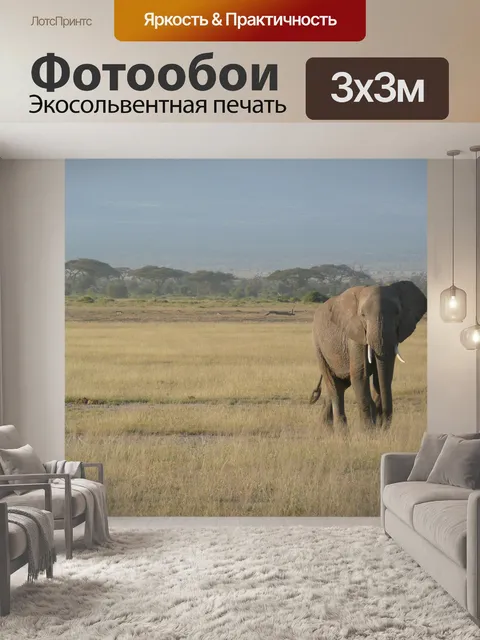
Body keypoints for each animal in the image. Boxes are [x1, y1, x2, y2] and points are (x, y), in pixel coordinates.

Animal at [309, 281, 427, 430]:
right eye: (363, 315)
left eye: (397, 313)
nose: (382, 426)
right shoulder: (355, 334)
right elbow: (360, 375)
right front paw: (368, 431)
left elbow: (382, 376)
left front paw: (376, 429)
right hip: (318, 345)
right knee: (333, 384)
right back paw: (341, 432)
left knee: (341, 384)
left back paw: (326, 428)